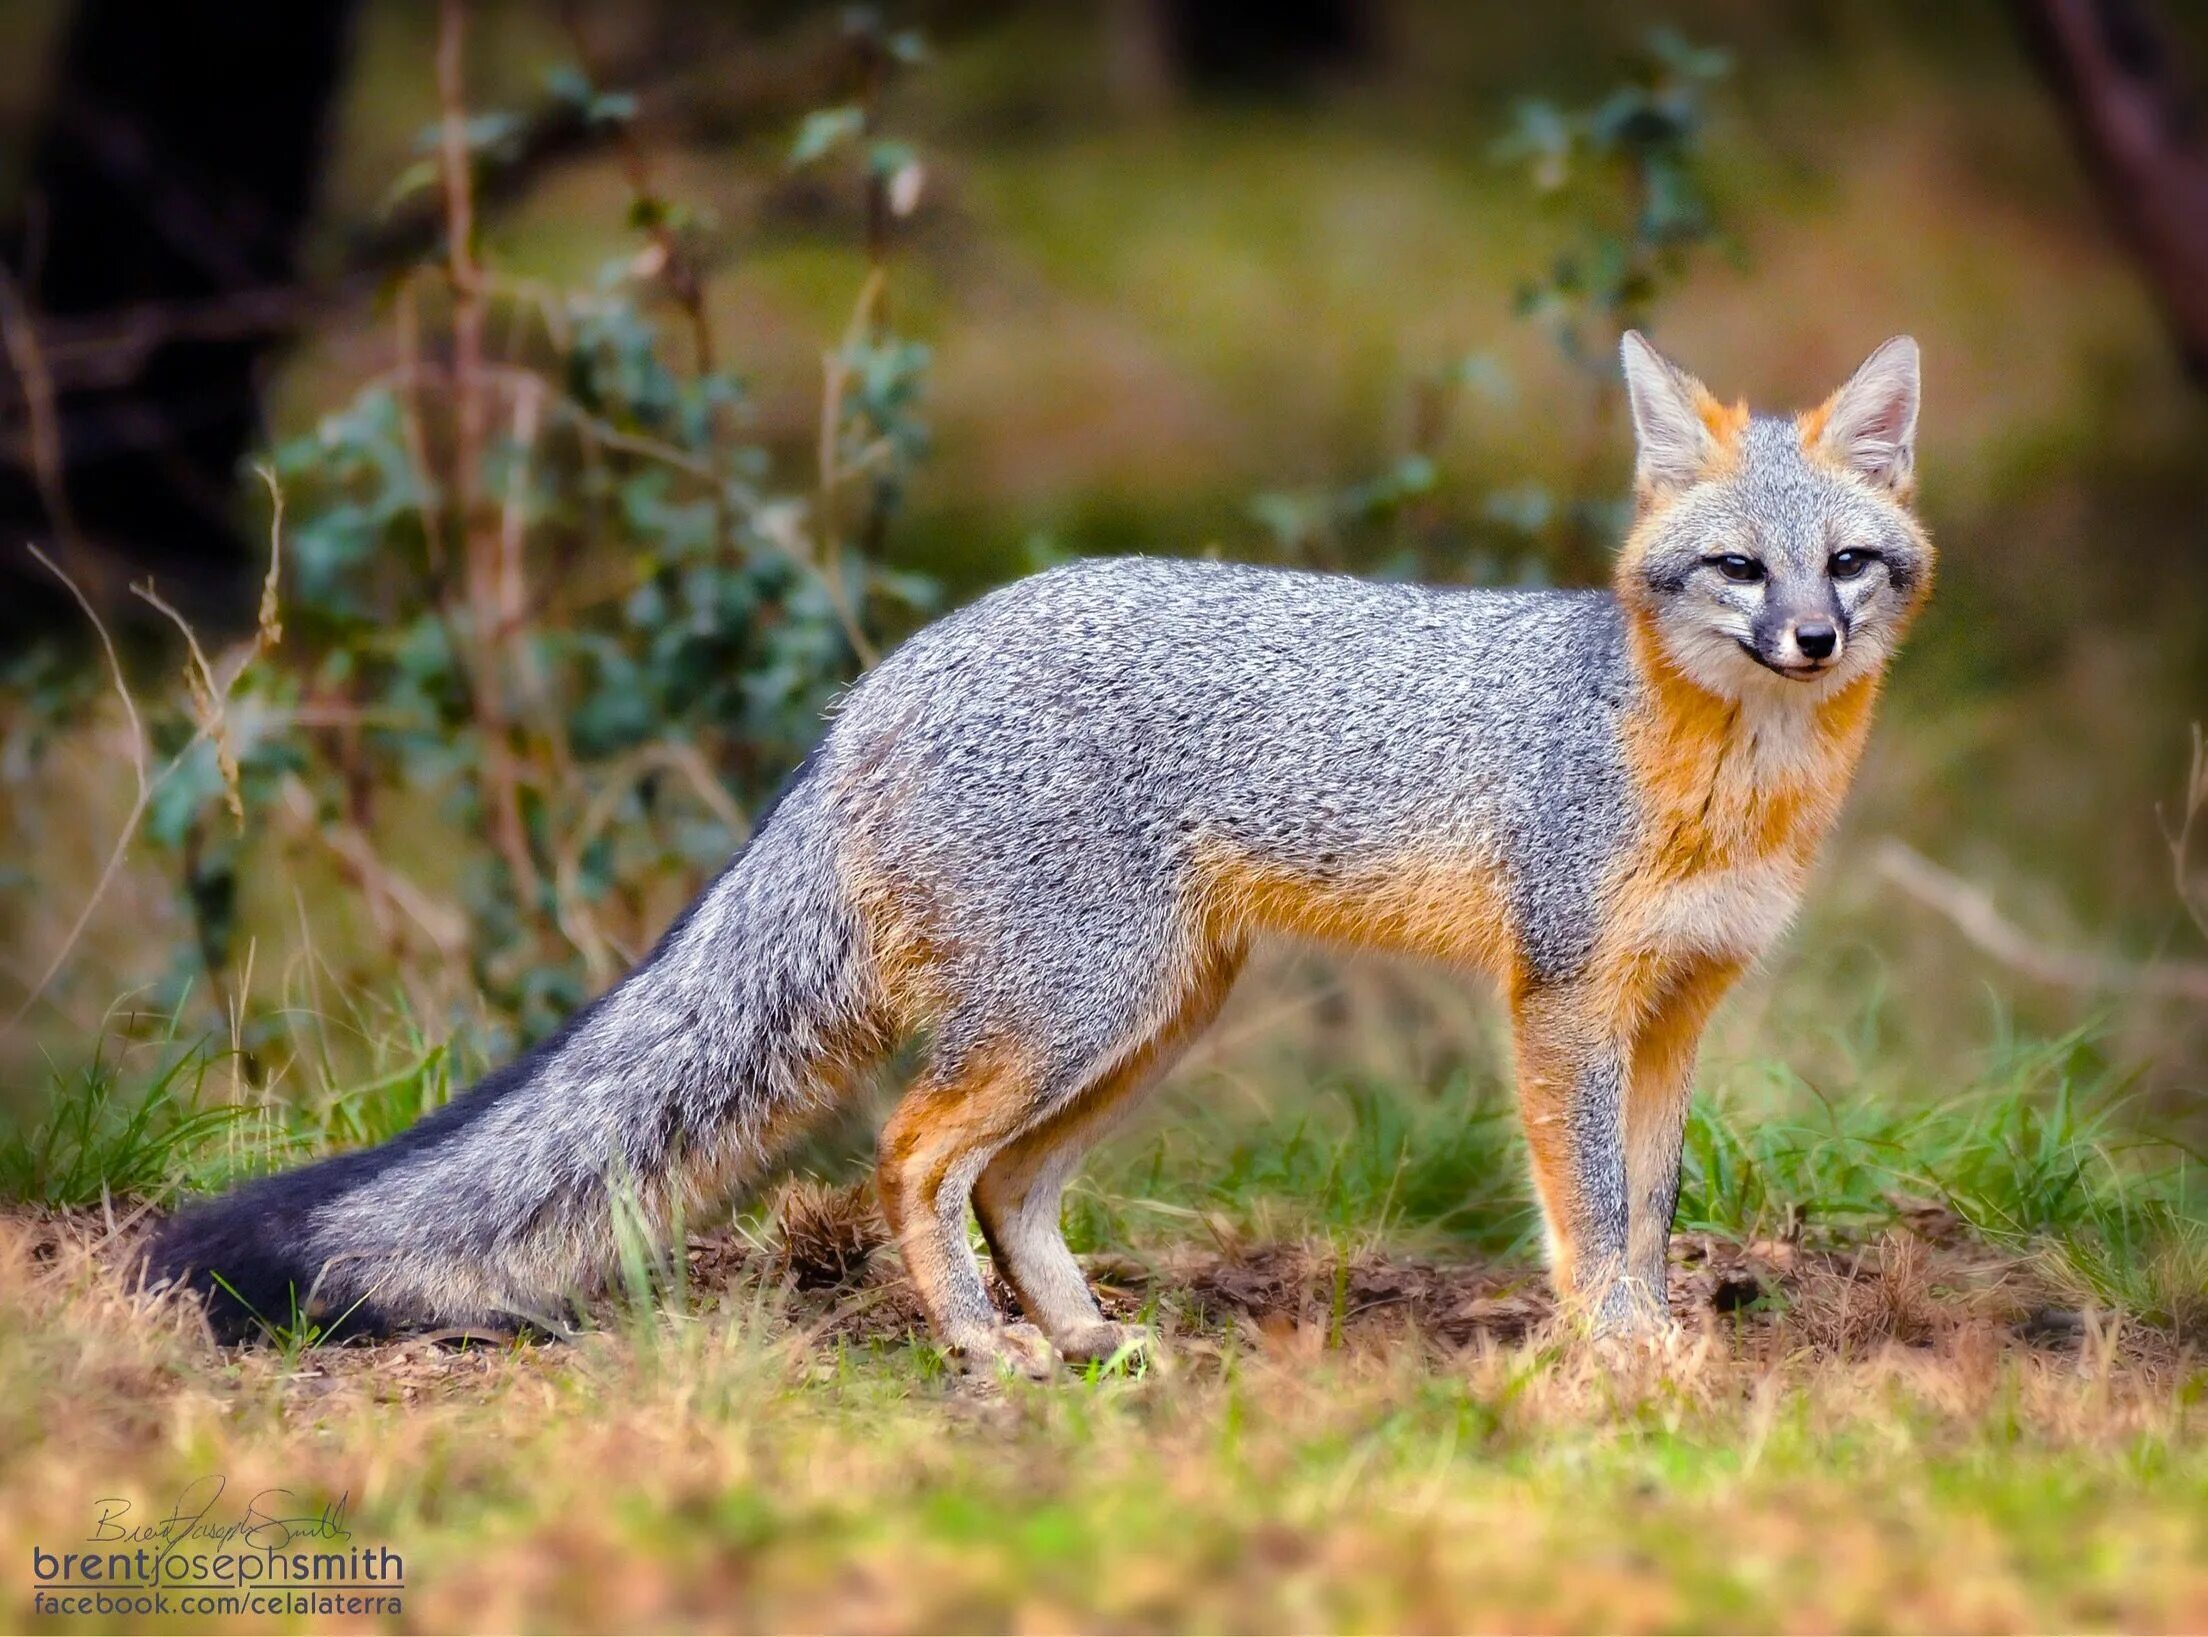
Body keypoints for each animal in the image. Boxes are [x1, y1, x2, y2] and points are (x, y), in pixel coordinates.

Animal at [155, 331, 1925, 1369]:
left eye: (1847, 562)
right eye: (1738, 570)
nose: (1813, 639)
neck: (1722, 777)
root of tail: (880, 682)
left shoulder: (1677, 1011)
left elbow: (1650, 1202)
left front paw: (1662, 1347)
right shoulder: (1560, 999)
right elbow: (1589, 1207)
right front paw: (1613, 1363)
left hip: (1146, 1017)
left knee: (1007, 1184)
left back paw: (1084, 1341)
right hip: (1084, 1008)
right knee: (912, 1154)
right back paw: (979, 1351)